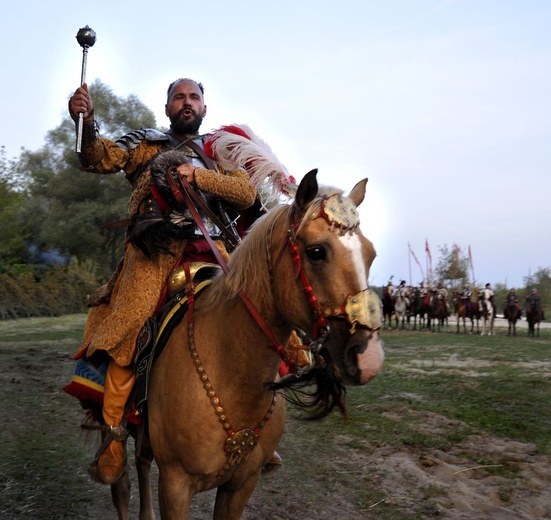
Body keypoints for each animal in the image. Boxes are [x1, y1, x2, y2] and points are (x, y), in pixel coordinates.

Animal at [119, 172, 384, 520]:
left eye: (370, 254)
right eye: (316, 251)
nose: (369, 359)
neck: (233, 375)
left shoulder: (242, 484)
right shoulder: (174, 485)